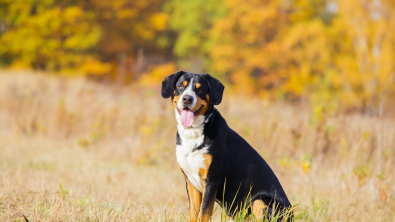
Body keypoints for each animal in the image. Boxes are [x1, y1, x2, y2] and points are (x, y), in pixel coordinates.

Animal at [161, 71, 294, 222]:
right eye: (180, 86)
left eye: (200, 89)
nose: (187, 99)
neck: (192, 133)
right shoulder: (190, 181)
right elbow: (194, 213)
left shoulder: (211, 180)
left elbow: (204, 212)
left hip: (261, 201)